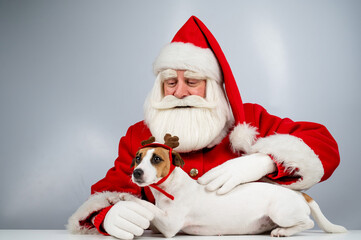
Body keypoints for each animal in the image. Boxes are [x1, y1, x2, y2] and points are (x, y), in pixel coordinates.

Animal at [124, 134, 346, 237]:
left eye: (157, 159)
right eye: (138, 158)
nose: (137, 173)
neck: (170, 188)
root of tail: (300, 195)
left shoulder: (170, 225)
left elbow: (149, 207)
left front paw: (127, 198)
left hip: (281, 212)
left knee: (307, 223)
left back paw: (283, 232)